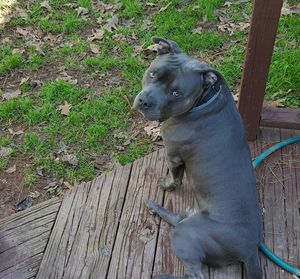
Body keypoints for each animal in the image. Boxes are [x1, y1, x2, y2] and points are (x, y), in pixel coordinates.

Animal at [134, 37, 262, 279]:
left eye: (177, 93)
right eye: (153, 73)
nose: (145, 101)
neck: (204, 101)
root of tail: (251, 251)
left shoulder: (173, 155)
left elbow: (175, 178)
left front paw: (167, 184)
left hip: (186, 234)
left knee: (195, 274)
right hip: (188, 224)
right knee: (178, 219)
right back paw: (154, 207)